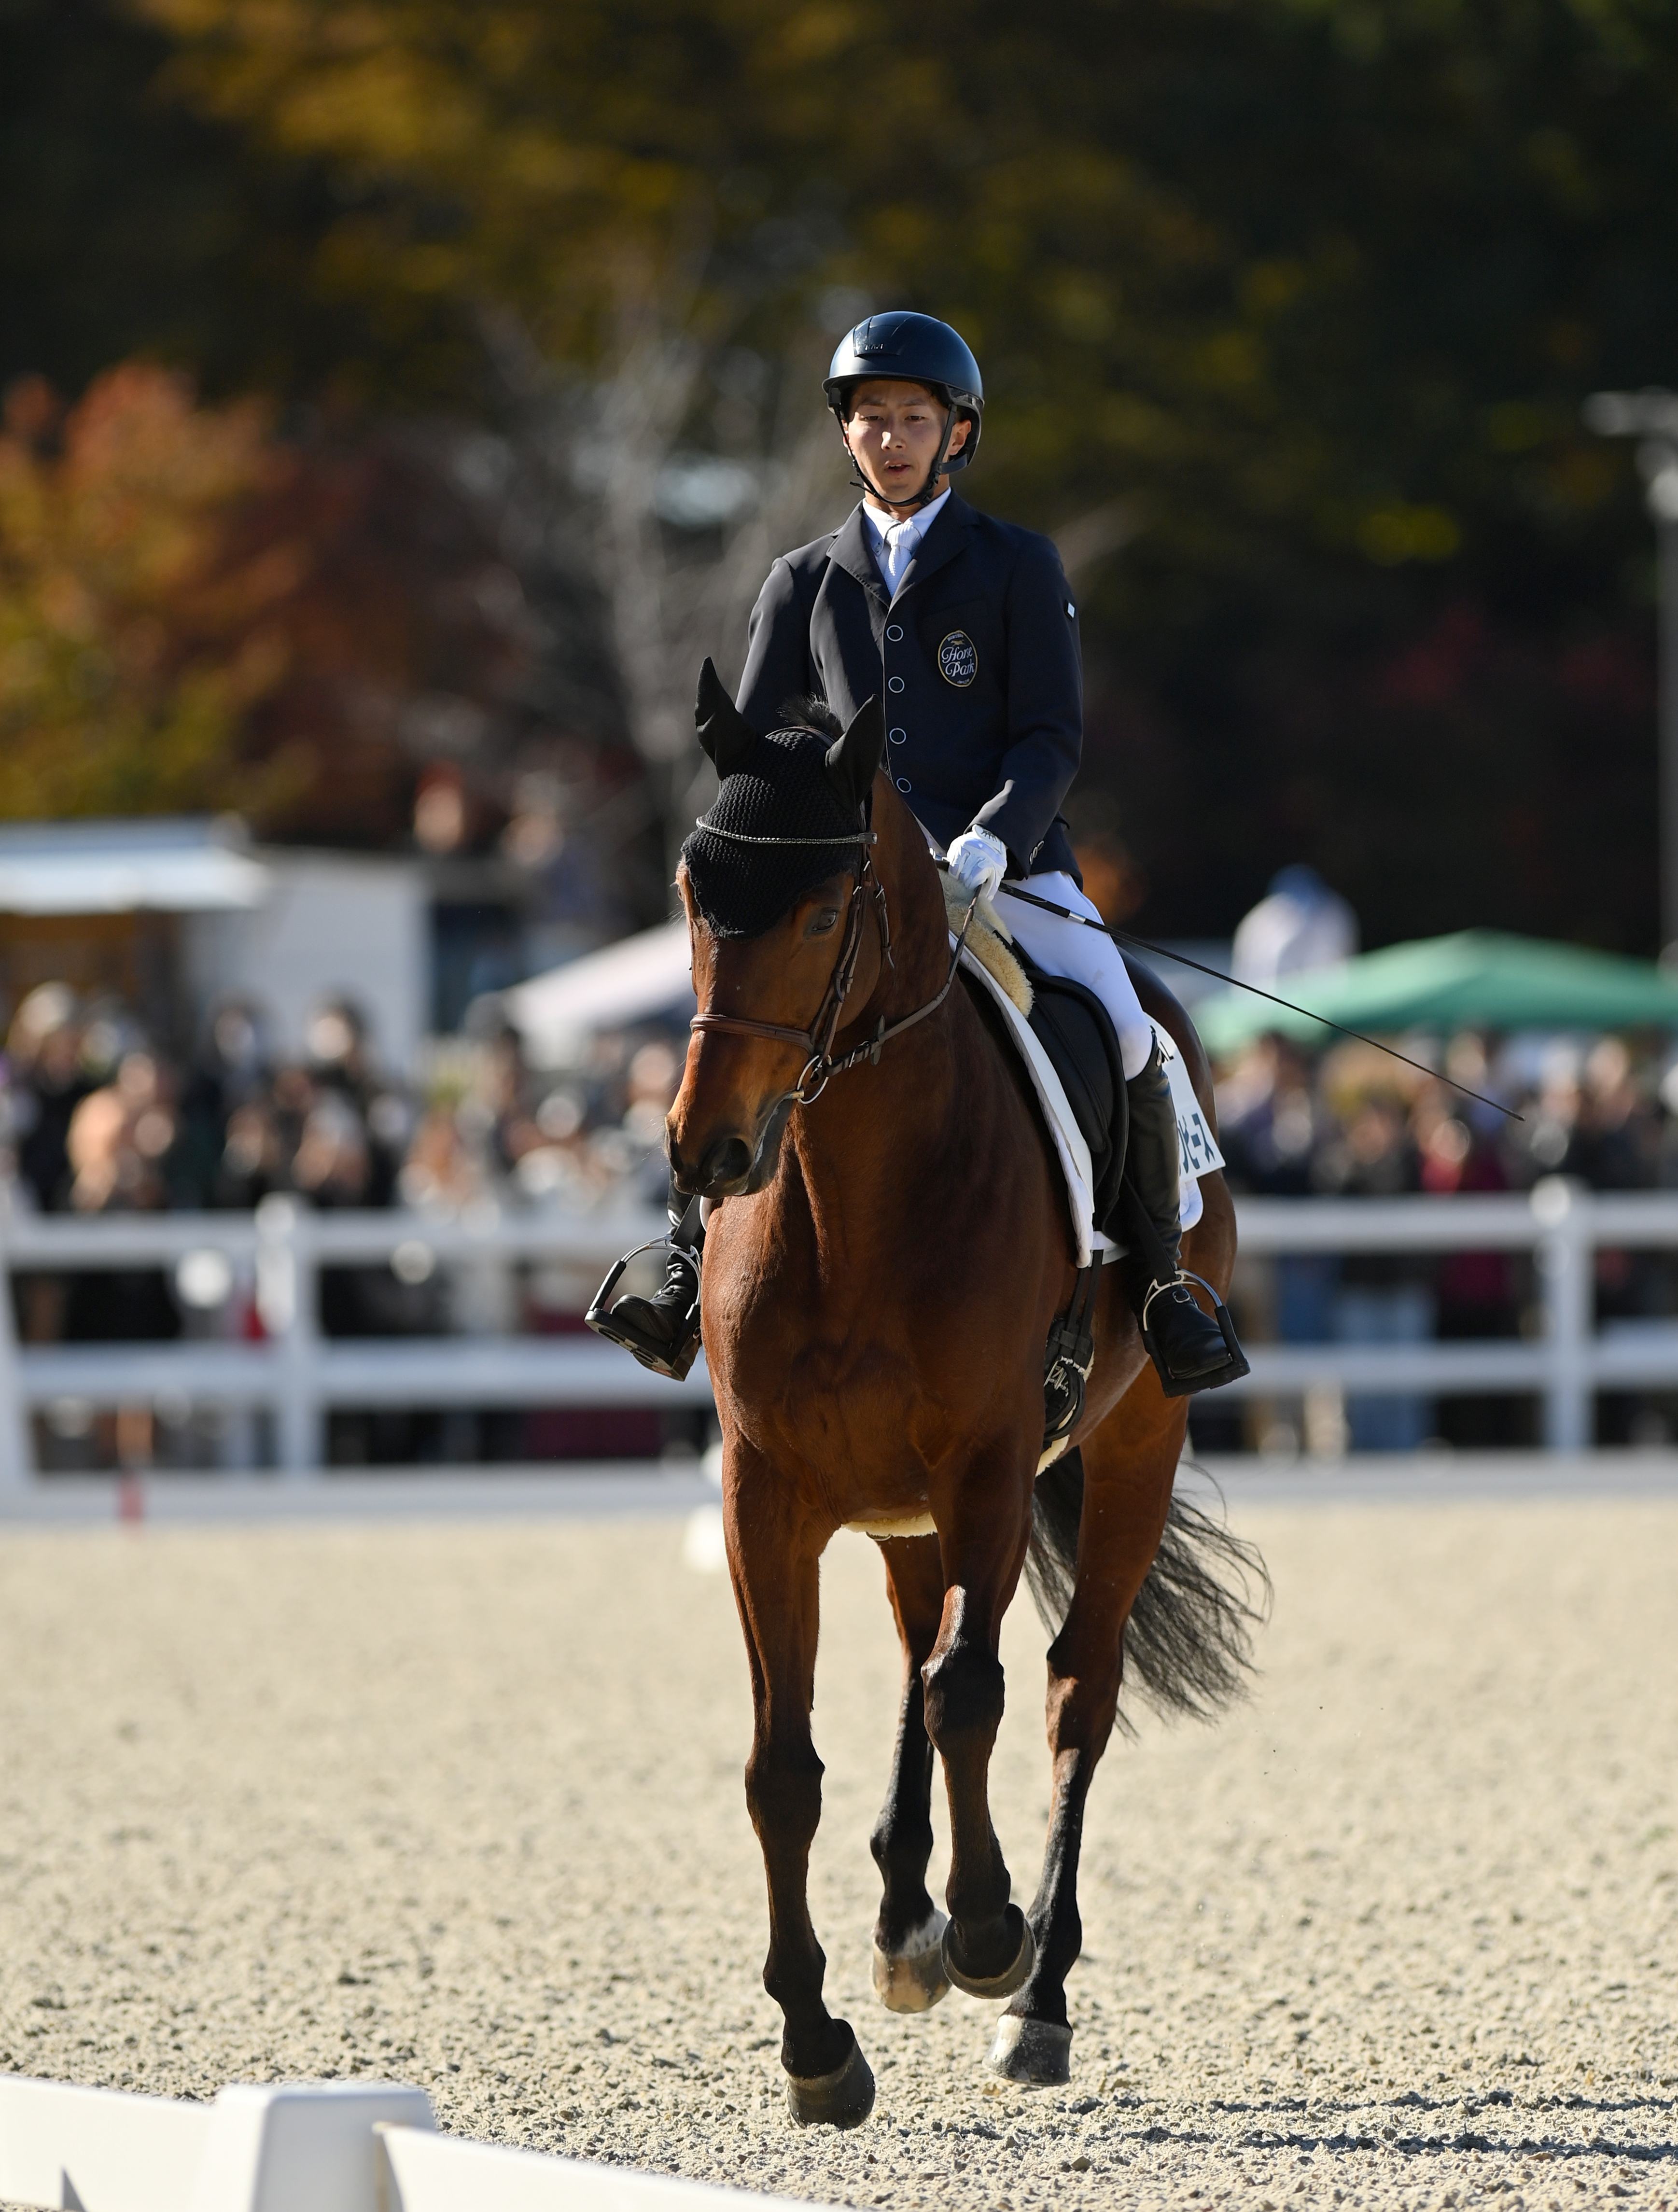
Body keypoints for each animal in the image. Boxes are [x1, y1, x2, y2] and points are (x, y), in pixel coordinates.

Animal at [667, 676, 1266, 2128]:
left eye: (821, 911)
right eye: (691, 894)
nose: (706, 1150)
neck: (849, 1196)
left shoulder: (990, 1463)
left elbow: (972, 1697)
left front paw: (989, 1927)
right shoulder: (764, 1491)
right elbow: (782, 1764)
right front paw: (815, 2038)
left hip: (1132, 1443)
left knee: (1066, 1691)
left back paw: (1031, 1993)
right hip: (895, 1508)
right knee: (916, 1644)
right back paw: (900, 1926)